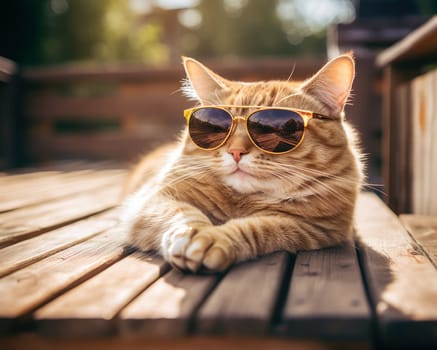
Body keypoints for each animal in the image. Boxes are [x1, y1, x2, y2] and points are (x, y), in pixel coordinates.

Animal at [119, 54, 362, 274]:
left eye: (281, 127)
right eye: (217, 126)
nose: (236, 151)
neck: (241, 199)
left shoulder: (311, 228)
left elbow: (257, 227)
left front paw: (214, 238)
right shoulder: (153, 199)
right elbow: (183, 212)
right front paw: (193, 231)